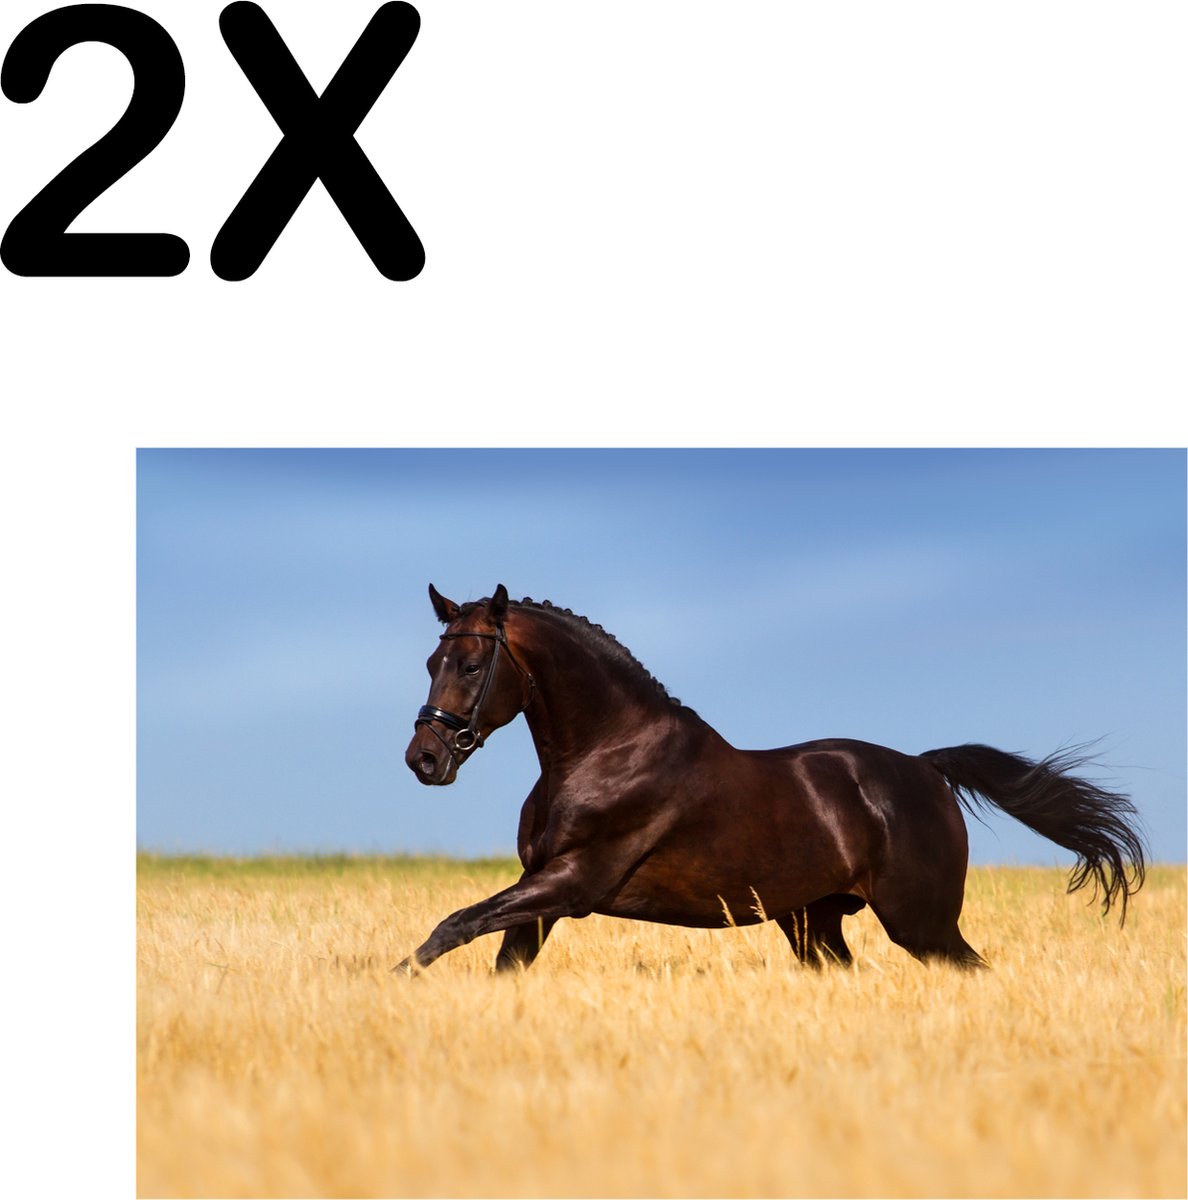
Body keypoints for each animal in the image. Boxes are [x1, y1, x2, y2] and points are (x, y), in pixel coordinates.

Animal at [397, 584, 1146, 974]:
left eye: (471, 665)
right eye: (432, 661)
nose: (424, 759)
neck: (604, 752)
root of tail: (926, 770)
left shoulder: (572, 882)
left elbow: (451, 926)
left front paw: (395, 982)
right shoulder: (542, 894)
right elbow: (496, 955)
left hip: (921, 922)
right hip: (816, 921)